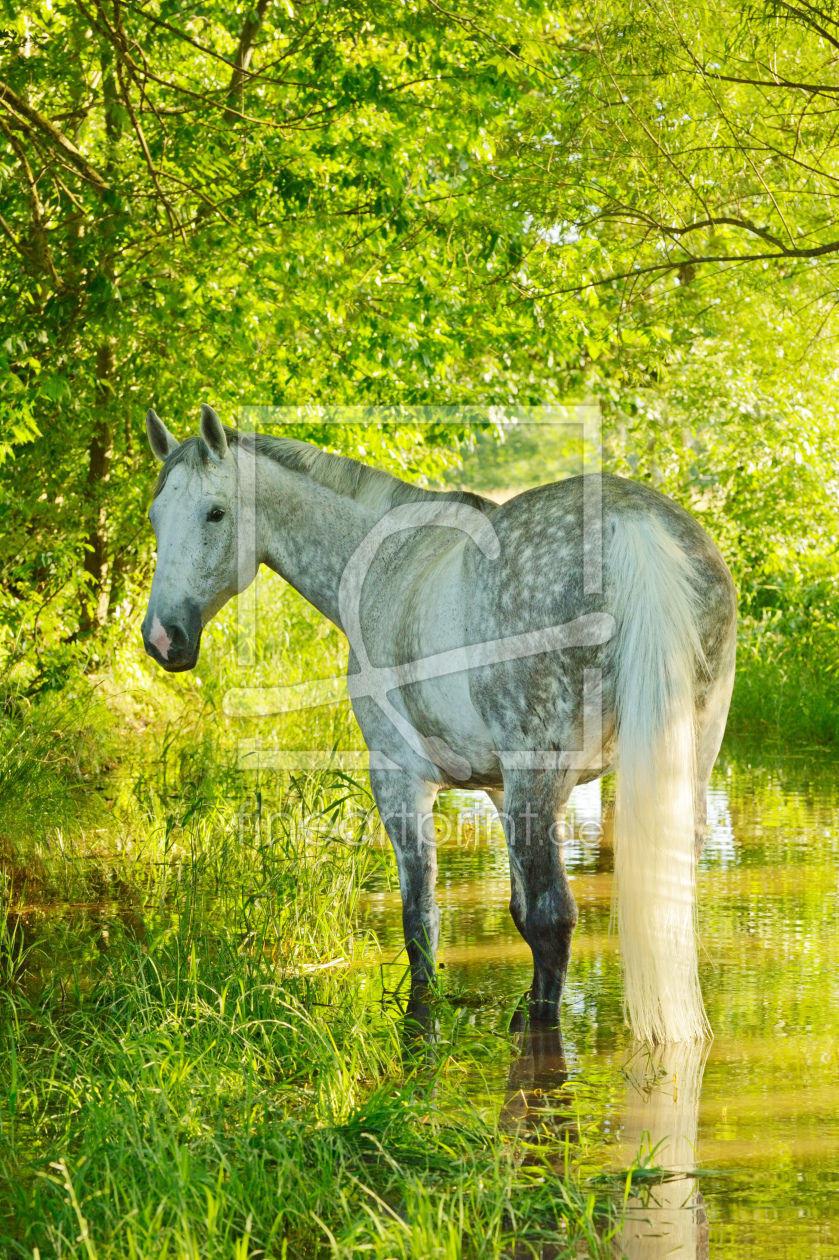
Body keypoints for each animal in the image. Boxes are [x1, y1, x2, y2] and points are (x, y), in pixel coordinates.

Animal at [142, 405, 730, 1043]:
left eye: (215, 512)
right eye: (154, 516)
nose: (162, 638)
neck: (383, 564)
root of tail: (633, 523)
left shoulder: (401, 779)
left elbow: (421, 922)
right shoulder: (500, 791)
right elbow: (515, 911)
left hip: (540, 777)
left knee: (553, 918)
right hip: (680, 767)